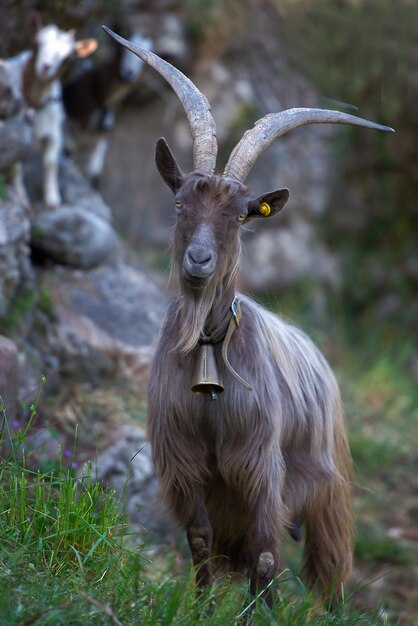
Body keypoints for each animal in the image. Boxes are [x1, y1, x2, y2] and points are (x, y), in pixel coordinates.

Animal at [3, 11, 96, 208]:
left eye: (67, 59)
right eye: (38, 43)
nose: (45, 68)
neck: (35, 102)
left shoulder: (55, 132)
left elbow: (50, 162)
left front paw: (53, 199)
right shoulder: (18, 132)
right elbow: (16, 163)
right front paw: (22, 197)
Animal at [63, 29, 152, 186]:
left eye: (143, 64)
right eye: (122, 50)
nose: (129, 74)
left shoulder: (102, 136)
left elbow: (94, 171)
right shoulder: (69, 124)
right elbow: (70, 154)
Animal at [102, 28, 396, 604]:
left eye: (240, 216)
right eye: (179, 203)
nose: (198, 260)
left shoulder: (261, 470)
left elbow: (264, 554)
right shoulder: (187, 466)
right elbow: (198, 541)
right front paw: (200, 607)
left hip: (326, 492)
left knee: (327, 570)